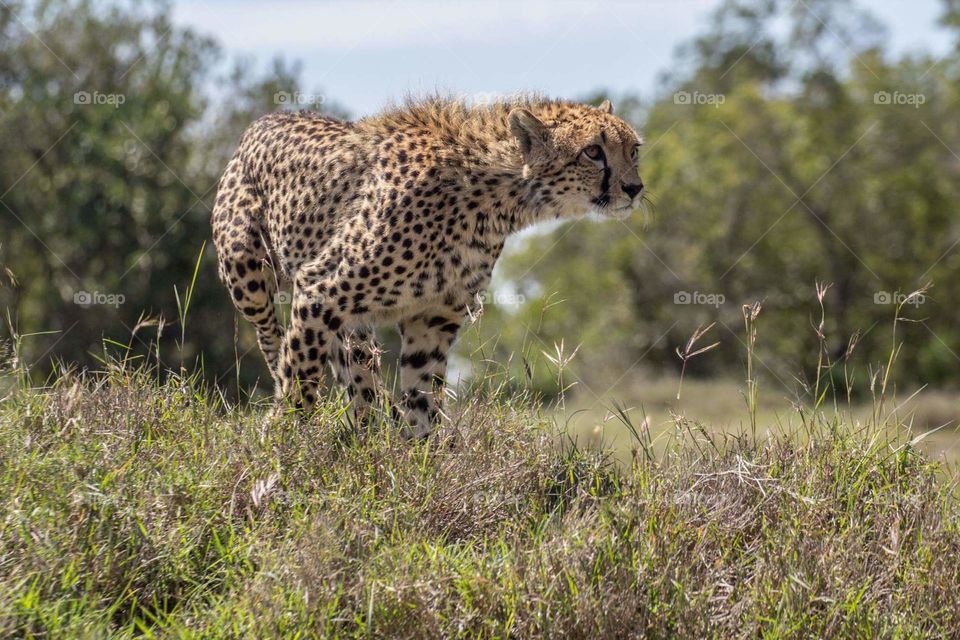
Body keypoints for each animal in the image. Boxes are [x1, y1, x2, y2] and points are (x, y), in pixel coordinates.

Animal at [211, 96, 645, 437]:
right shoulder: (320, 287)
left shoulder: (433, 317)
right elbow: (300, 378)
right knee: (273, 340)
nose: (634, 188)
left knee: (358, 371)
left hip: (354, 323)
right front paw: (281, 444)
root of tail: (269, 117)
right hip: (247, 277)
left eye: (634, 150)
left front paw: (427, 456)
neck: (496, 196)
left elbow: (423, 393)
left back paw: (369, 432)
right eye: (593, 151)